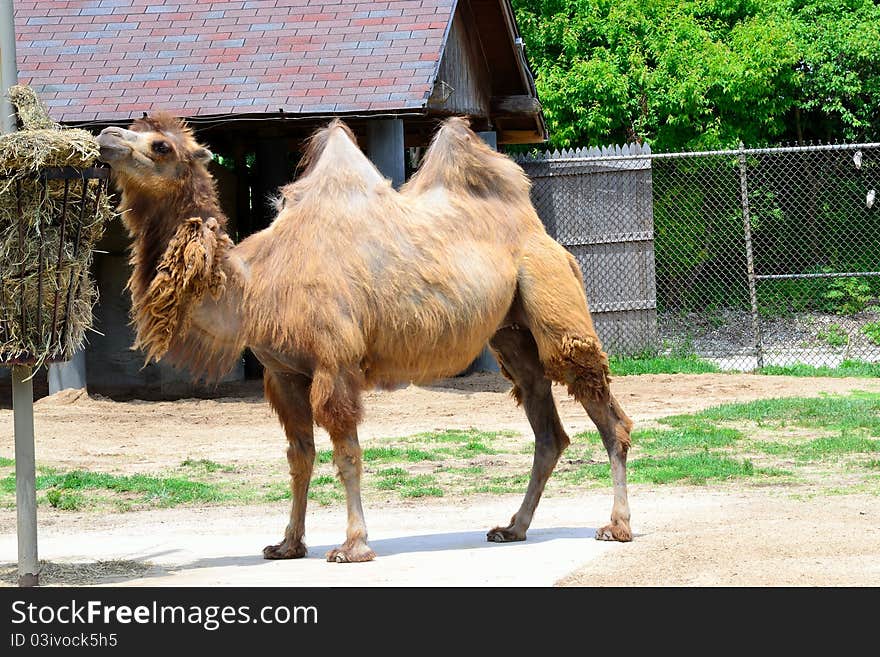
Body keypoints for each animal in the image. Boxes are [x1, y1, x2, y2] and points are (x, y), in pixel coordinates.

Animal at [98, 114, 632, 564]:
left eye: (161, 145)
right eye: (134, 128)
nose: (106, 135)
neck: (254, 287)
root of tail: (539, 230)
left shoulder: (334, 363)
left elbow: (347, 455)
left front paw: (353, 546)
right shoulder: (283, 374)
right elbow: (300, 457)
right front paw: (287, 545)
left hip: (550, 293)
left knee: (602, 406)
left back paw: (616, 526)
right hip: (510, 334)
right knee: (546, 423)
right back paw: (513, 527)